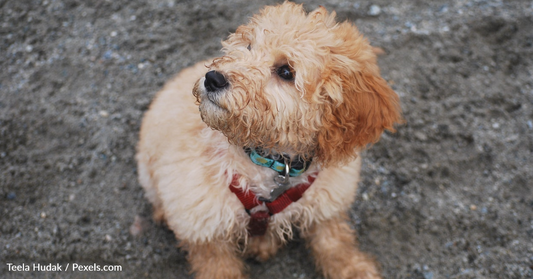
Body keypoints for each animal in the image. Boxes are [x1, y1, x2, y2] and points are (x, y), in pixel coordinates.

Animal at [135, 2, 402, 279]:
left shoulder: (327, 202)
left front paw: (354, 268)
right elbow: (217, 265)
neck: (270, 161)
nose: (213, 78)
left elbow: (334, 241)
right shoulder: (202, 224)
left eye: (286, 71)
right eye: (249, 46)